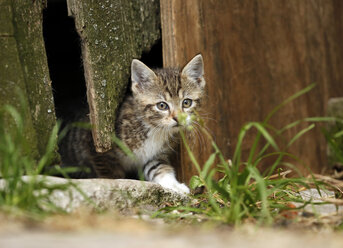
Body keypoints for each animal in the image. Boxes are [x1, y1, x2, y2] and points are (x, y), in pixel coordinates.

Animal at [59, 53, 206, 194]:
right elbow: (109, 172)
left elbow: (159, 168)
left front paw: (174, 185)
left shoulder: (153, 156)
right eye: (162, 105)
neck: (154, 129)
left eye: (186, 103)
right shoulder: (95, 147)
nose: (178, 119)